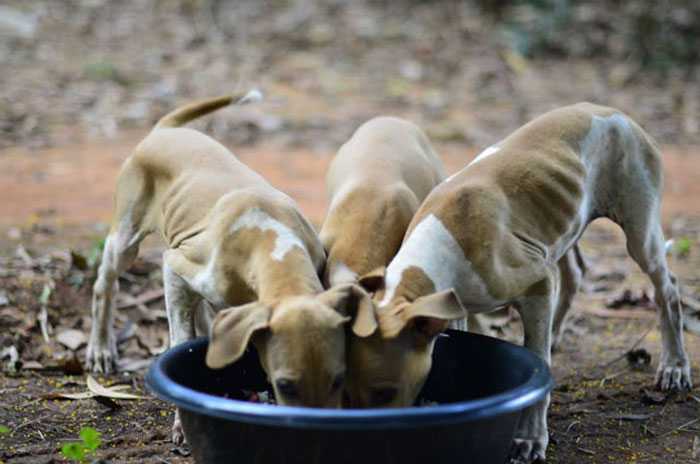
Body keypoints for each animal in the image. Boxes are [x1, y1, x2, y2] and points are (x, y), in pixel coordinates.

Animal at [85, 90, 374, 442]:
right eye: (285, 386)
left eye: (338, 379)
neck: (272, 243)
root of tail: (164, 130)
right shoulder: (175, 267)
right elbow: (180, 338)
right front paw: (181, 423)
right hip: (126, 239)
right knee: (105, 284)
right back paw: (101, 347)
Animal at [348, 103, 692, 462]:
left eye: (384, 392)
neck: (433, 251)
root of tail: (614, 113)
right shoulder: (459, 309)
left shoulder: (537, 284)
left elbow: (539, 367)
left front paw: (529, 438)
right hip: (559, 234)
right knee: (575, 273)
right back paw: (558, 332)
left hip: (640, 236)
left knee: (667, 289)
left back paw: (675, 365)